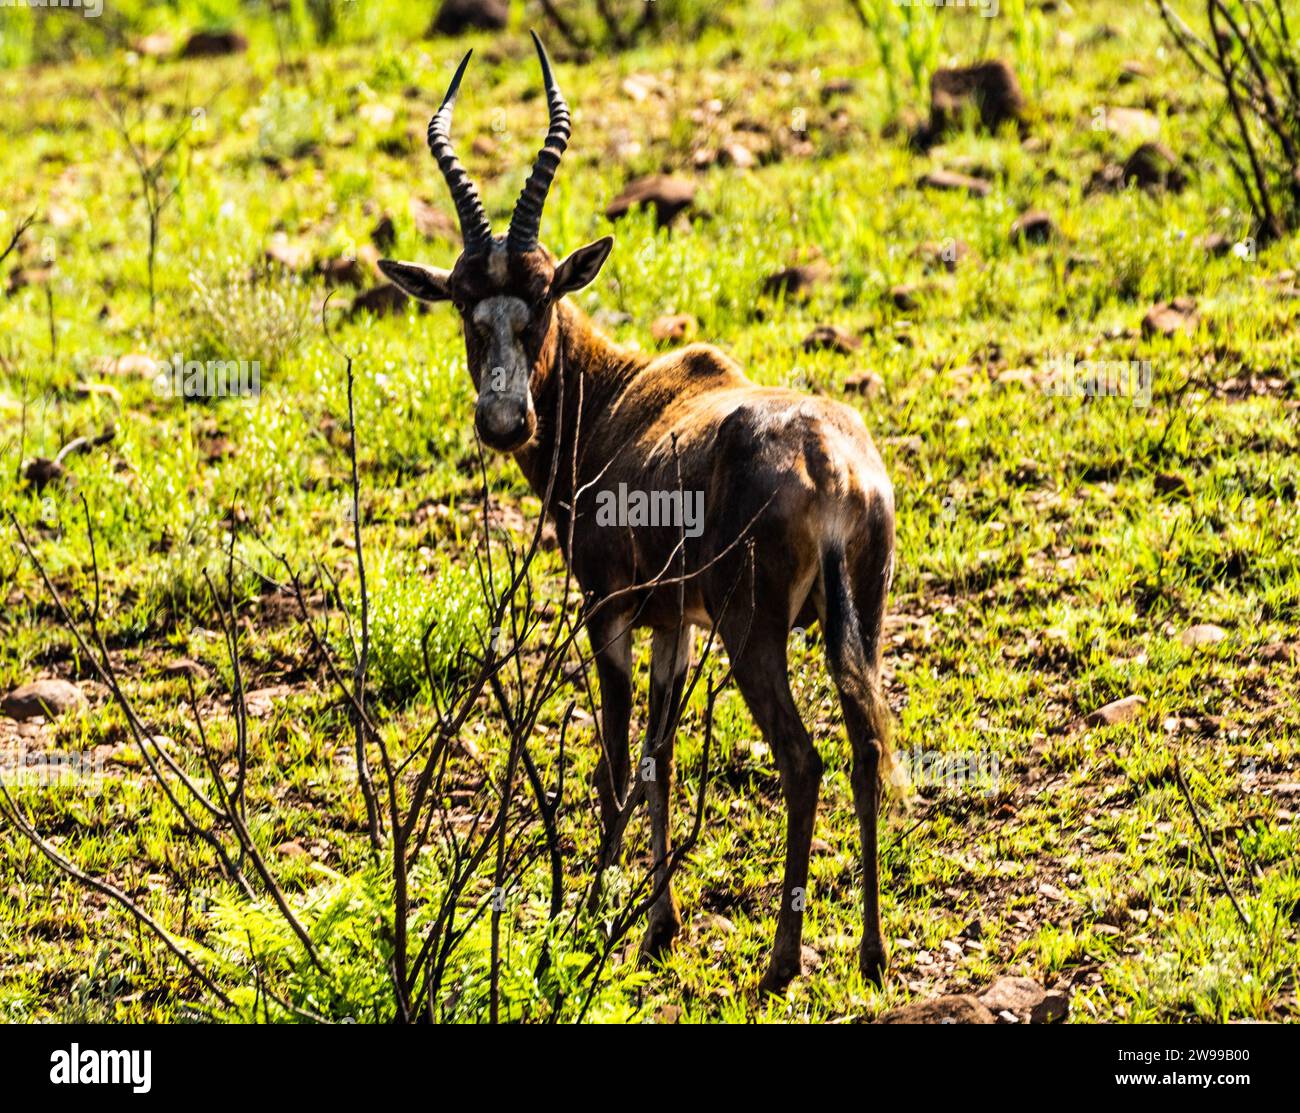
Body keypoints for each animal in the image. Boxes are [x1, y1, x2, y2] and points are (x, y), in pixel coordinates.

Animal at [379, 34, 899, 993]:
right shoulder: (674, 625)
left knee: (803, 761)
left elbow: (619, 763)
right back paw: (872, 955)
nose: (504, 420)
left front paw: (582, 916)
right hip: (861, 624)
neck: (626, 395)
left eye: (543, 296)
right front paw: (658, 925)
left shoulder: (610, 610)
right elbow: (660, 761)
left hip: (755, 635)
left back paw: (780, 962)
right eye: (467, 306)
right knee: (865, 750)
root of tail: (830, 462)